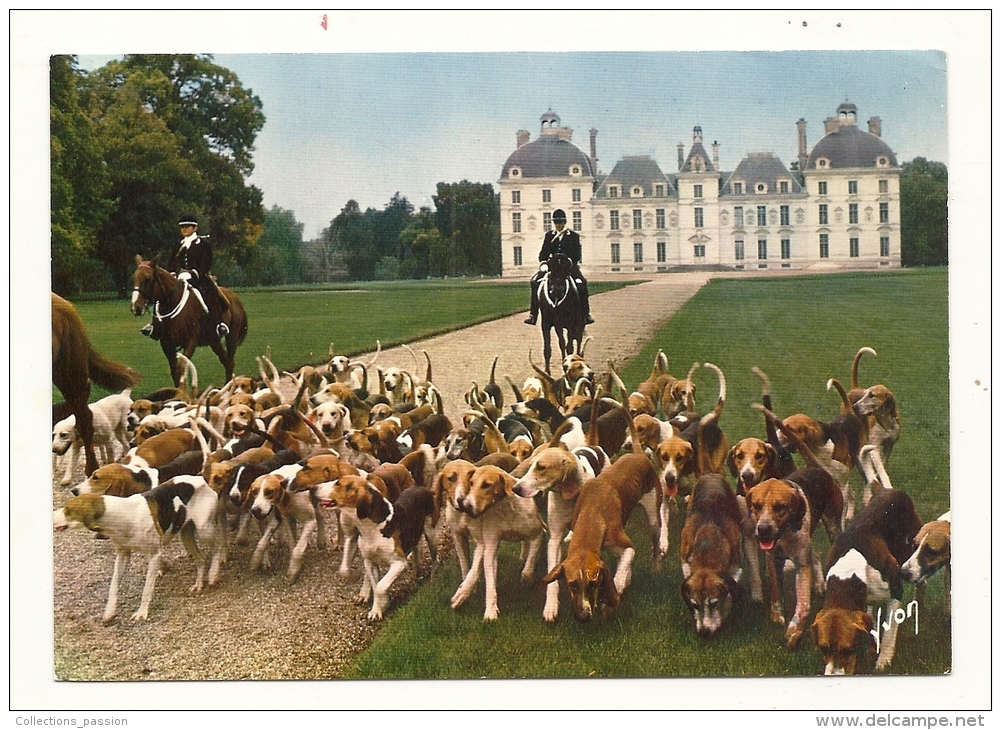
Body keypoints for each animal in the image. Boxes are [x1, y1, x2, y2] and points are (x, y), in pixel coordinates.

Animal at [130, 253, 247, 386]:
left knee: (230, 362)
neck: (174, 303)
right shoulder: (167, 344)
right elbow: (175, 372)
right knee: (226, 361)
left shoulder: (190, 341)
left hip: (231, 338)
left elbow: (182, 369)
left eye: (148, 278)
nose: (135, 307)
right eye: (134, 278)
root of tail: (235, 298)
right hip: (214, 341)